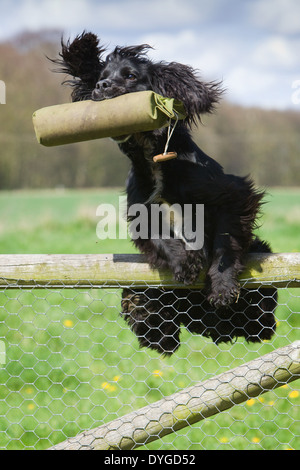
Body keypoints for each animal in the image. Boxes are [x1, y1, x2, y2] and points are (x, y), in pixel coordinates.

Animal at [54, 33, 276, 354]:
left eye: (130, 76)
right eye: (100, 77)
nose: (101, 86)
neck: (153, 156)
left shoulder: (233, 195)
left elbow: (226, 241)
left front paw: (221, 286)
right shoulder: (140, 211)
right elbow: (160, 237)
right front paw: (185, 262)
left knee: (261, 319)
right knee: (153, 320)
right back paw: (146, 313)